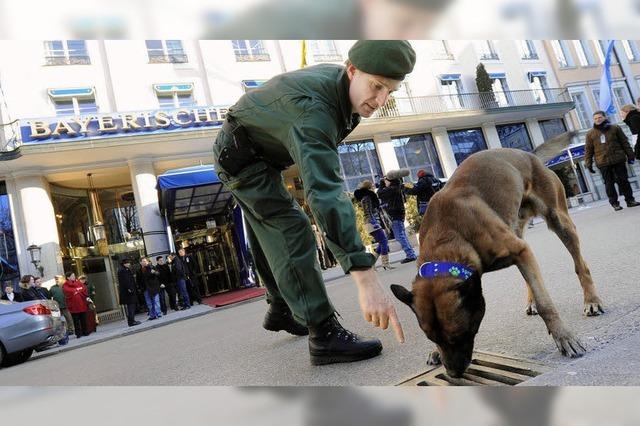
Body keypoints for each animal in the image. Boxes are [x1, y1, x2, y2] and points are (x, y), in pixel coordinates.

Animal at [390, 138, 604, 378]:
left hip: (559, 222)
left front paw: (563, 336)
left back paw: (591, 301)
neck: (447, 237)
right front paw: (435, 352)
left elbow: (546, 304)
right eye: (432, 337)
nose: (453, 374)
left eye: (461, 334)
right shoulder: (520, 253)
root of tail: (528, 155)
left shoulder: (520, 251)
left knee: (580, 265)